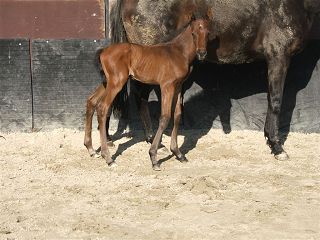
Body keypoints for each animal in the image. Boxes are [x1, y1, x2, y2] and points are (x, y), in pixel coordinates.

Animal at [84, 17, 210, 170]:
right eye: (193, 33)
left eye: (208, 33)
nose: (202, 53)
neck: (178, 52)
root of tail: (103, 51)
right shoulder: (166, 86)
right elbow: (165, 117)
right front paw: (153, 158)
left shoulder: (178, 86)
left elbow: (177, 115)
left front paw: (178, 153)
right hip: (116, 83)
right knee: (102, 107)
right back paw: (108, 158)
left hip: (107, 82)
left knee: (91, 101)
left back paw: (91, 150)